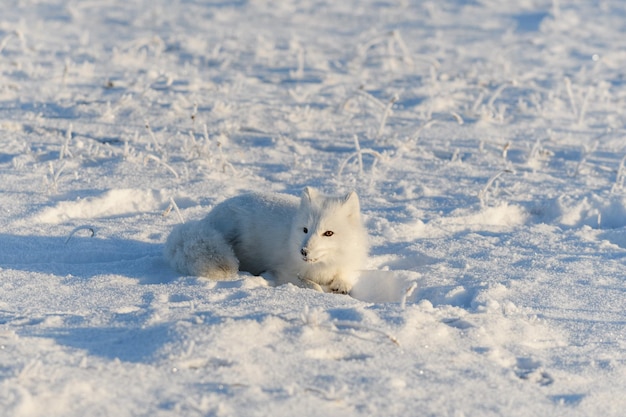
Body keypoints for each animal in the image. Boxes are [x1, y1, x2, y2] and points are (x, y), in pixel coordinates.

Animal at [163, 187, 368, 290]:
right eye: (305, 230)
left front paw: (341, 285)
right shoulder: (283, 272)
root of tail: (209, 218)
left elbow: (345, 276)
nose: (303, 251)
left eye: (328, 233)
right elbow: (313, 286)